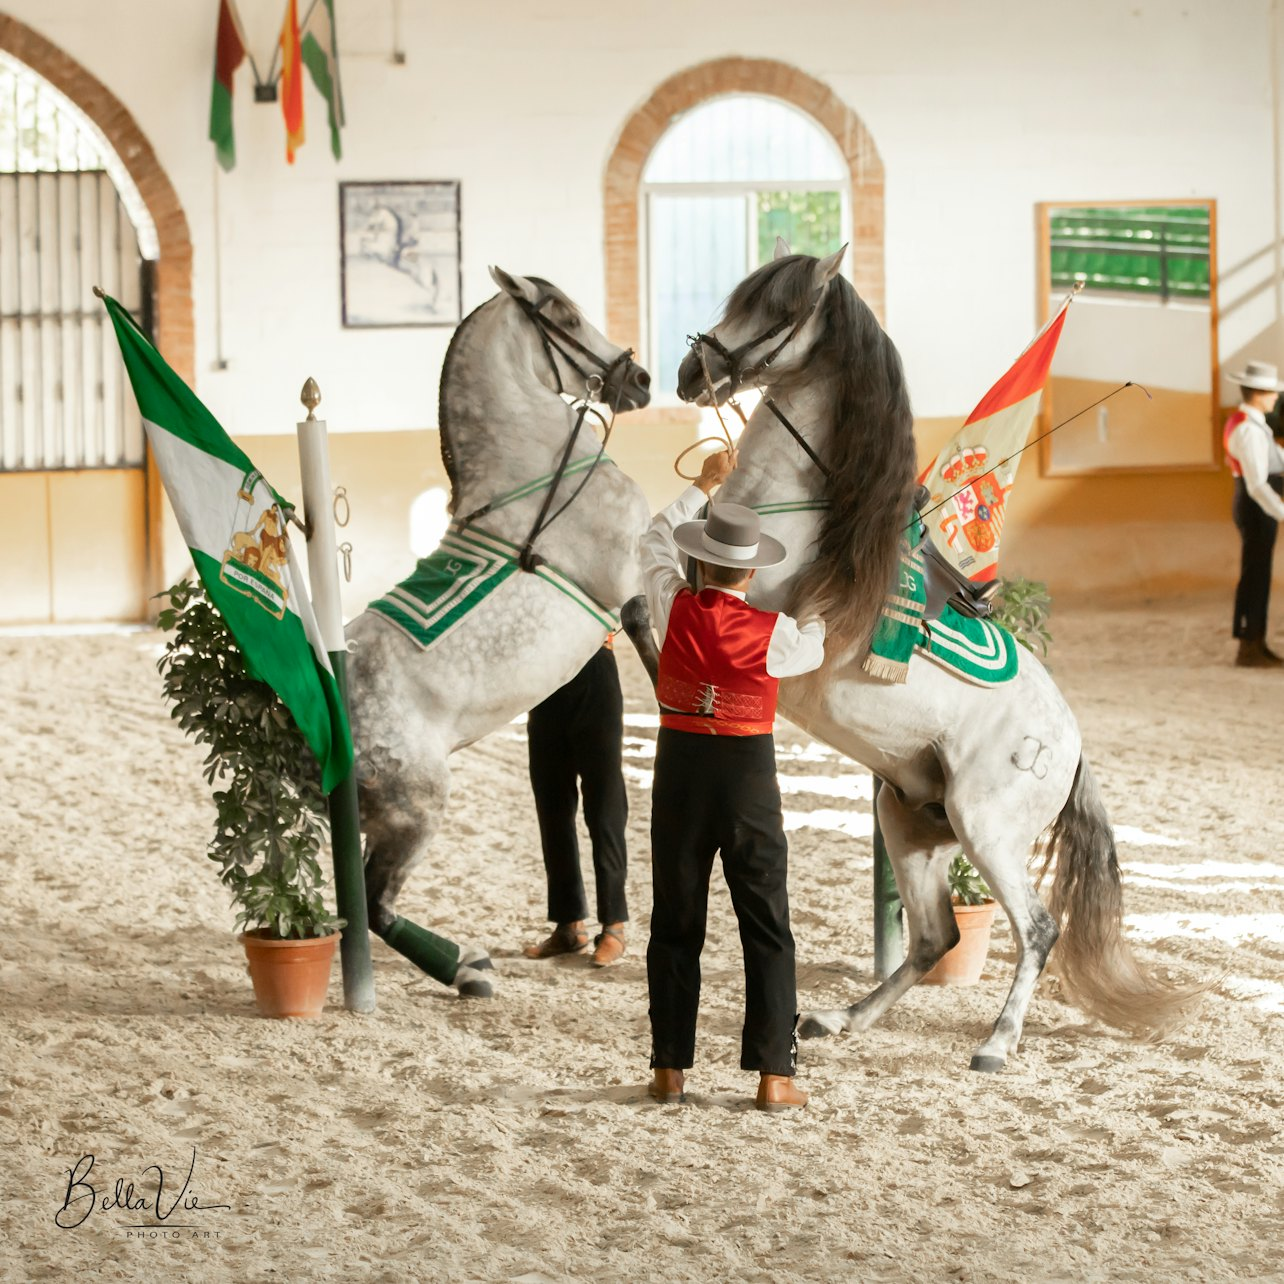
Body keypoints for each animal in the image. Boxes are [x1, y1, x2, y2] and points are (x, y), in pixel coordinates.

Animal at [346, 268, 652, 991]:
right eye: (564, 316)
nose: (640, 378)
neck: (537, 470)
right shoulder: (632, 574)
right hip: (416, 810)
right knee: (376, 904)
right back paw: (466, 970)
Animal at [662, 245, 1201, 1068]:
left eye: (781, 310)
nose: (693, 370)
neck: (814, 520)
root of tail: (1071, 748)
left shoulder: (766, 611)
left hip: (987, 831)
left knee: (1034, 928)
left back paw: (997, 1042)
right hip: (912, 822)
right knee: (934, 936)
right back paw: (838, 1019)